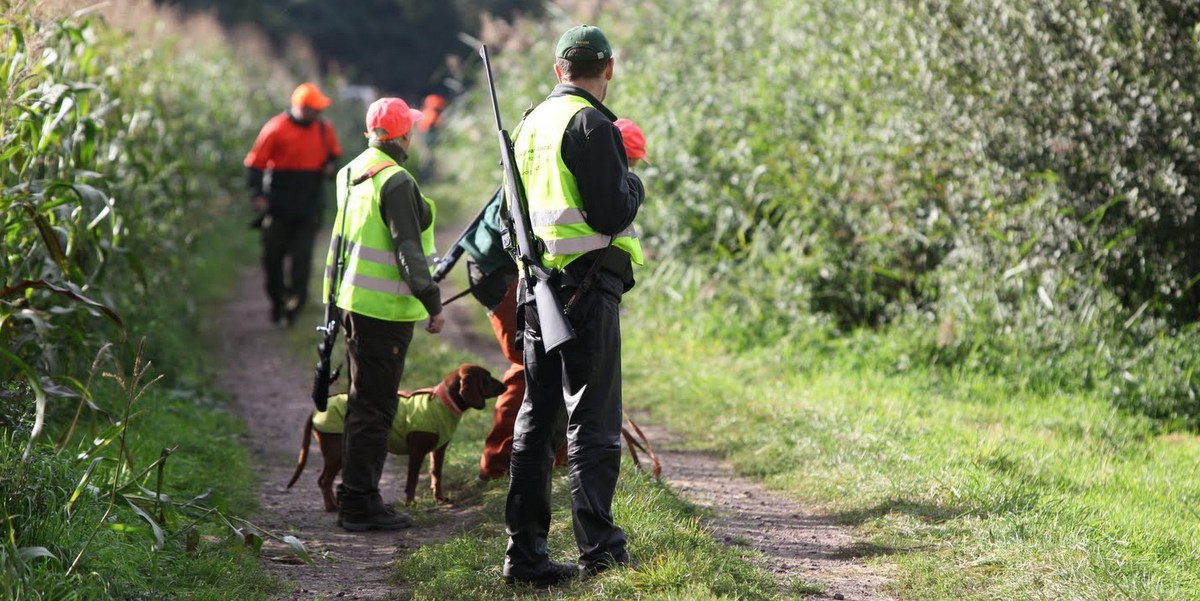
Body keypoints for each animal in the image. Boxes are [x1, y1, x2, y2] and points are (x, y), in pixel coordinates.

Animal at [290, 362, 506, 508]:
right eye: (487, 378)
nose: (505, 386)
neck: (443, 402)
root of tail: (317, 409)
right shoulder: (417, 452)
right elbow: (412, 480)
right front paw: (411, 503)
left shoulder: (438, 451)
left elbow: (437, 475)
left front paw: (439, 498)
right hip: (336, 452)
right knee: (324, 480)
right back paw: (332, 507)